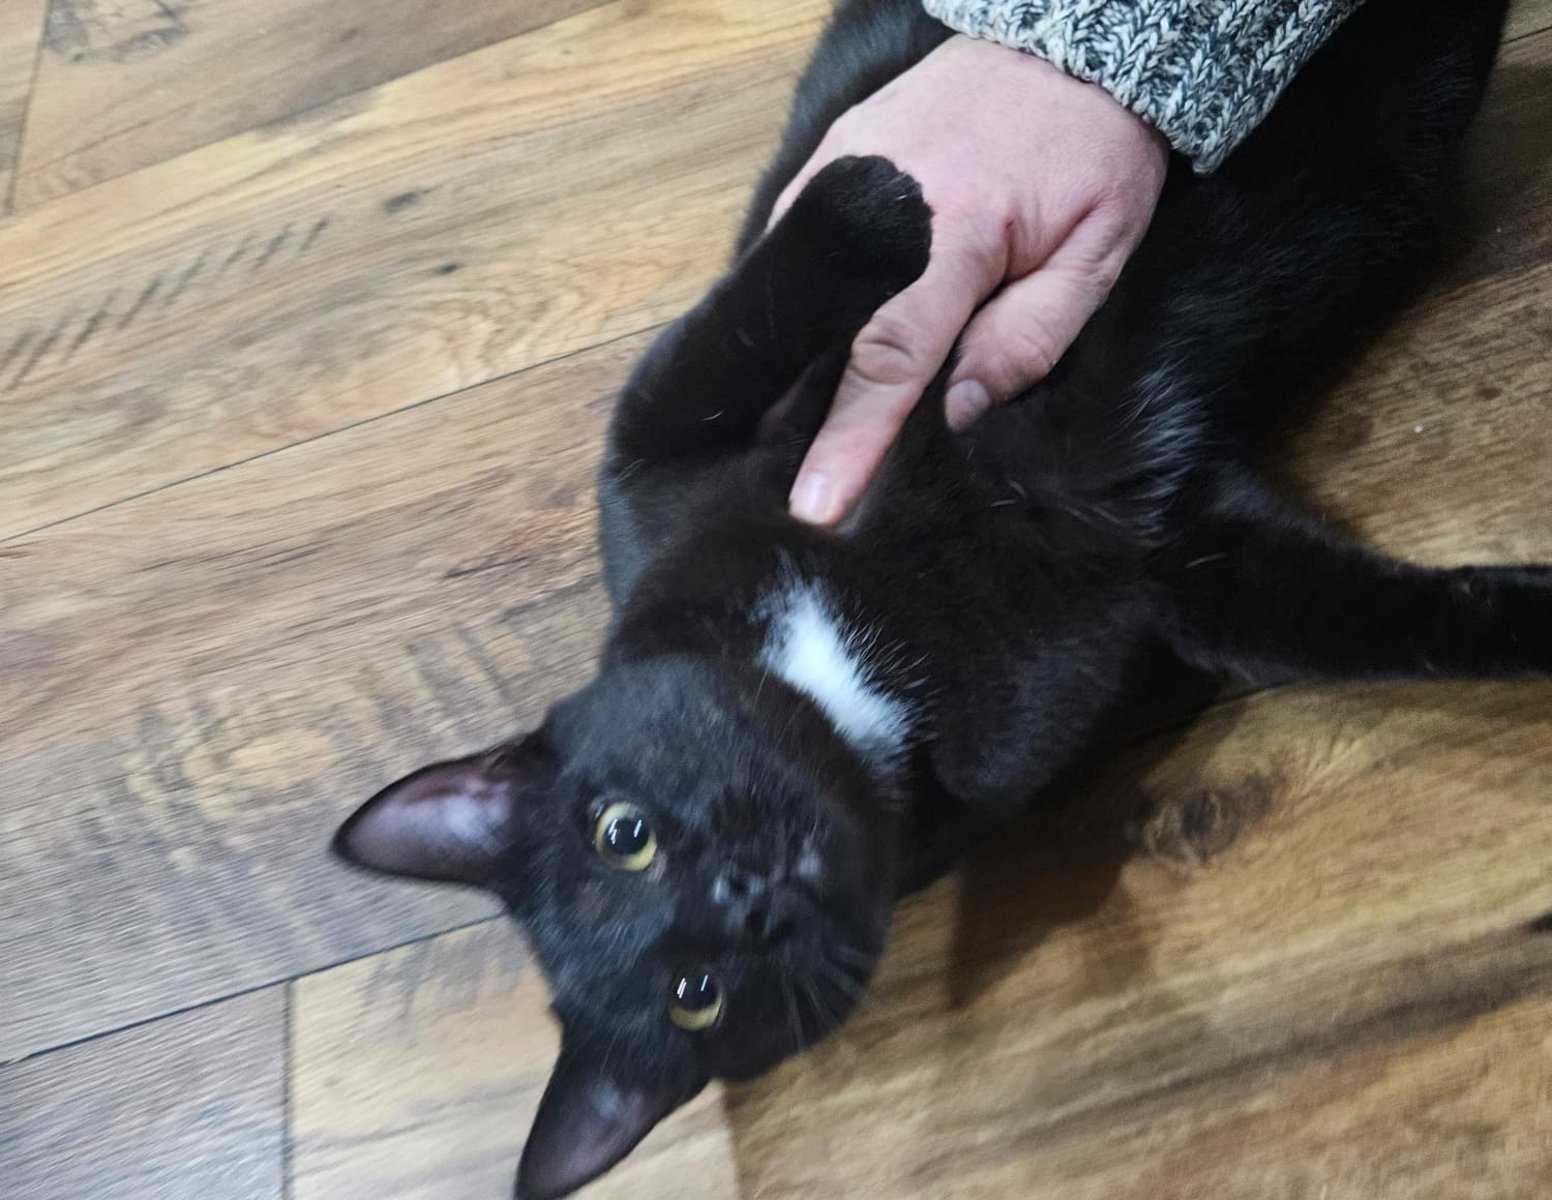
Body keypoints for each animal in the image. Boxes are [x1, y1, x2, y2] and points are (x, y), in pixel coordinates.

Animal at [333, 0, 1529, 1196]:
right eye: (696, 995)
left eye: (622, 832)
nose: (741, 894)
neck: (841, 672)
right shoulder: (1169, 565)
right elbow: (1368, 625)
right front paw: (1532, 617)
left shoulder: (659, 458)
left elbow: (722, 342)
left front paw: (872, 199)